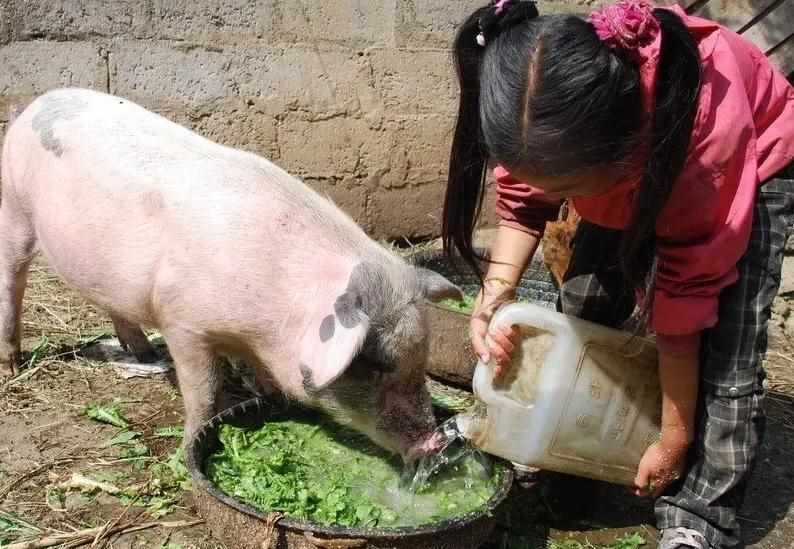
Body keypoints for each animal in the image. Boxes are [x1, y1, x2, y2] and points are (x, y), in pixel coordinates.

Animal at [0, 88, 460, 460]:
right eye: (375, 363)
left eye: (423, 356)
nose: (434, 442)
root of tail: (35, 104)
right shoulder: (182, 322)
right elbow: (203, 393)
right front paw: (192, 445)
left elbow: (261, 375)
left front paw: (272, 397)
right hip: (15, 207)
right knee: (12, 280)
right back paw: (13, 366)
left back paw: (143, 354)